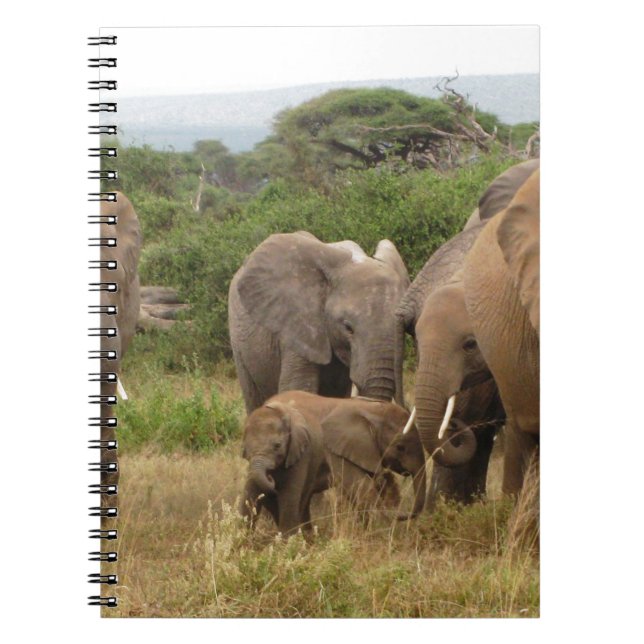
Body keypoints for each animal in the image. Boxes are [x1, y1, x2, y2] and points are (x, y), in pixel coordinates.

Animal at [240, 397, 331, 536]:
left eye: (277, 446)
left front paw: (288, 540)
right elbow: (249, 495)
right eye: (245, 448)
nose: (270, 477)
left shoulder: (301, 454)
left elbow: (289, 497)